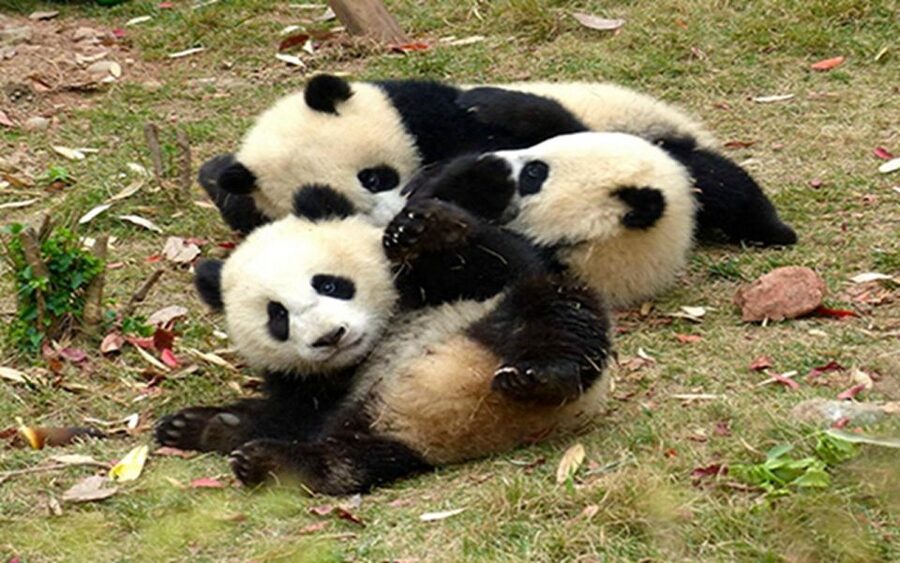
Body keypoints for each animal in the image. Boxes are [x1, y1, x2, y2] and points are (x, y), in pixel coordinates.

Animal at [156, 187, 612, 494]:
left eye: (329, 284)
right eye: (278, 316)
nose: (330, 337)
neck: (376, 339)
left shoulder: (473, 284)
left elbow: (504, 261)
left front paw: (424, 230)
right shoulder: (316, 385)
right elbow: (290, 416)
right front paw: (193, 425)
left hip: (502, 326)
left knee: (560, 316)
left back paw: (542, 377)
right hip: (371, 419)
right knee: (346, 459)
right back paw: (267, 462)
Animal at [199, 74, 796, 248]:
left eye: (374, 175)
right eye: (343, 205)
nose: (396, 209)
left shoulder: (426, 113)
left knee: (716, 182)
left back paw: (768, 228)